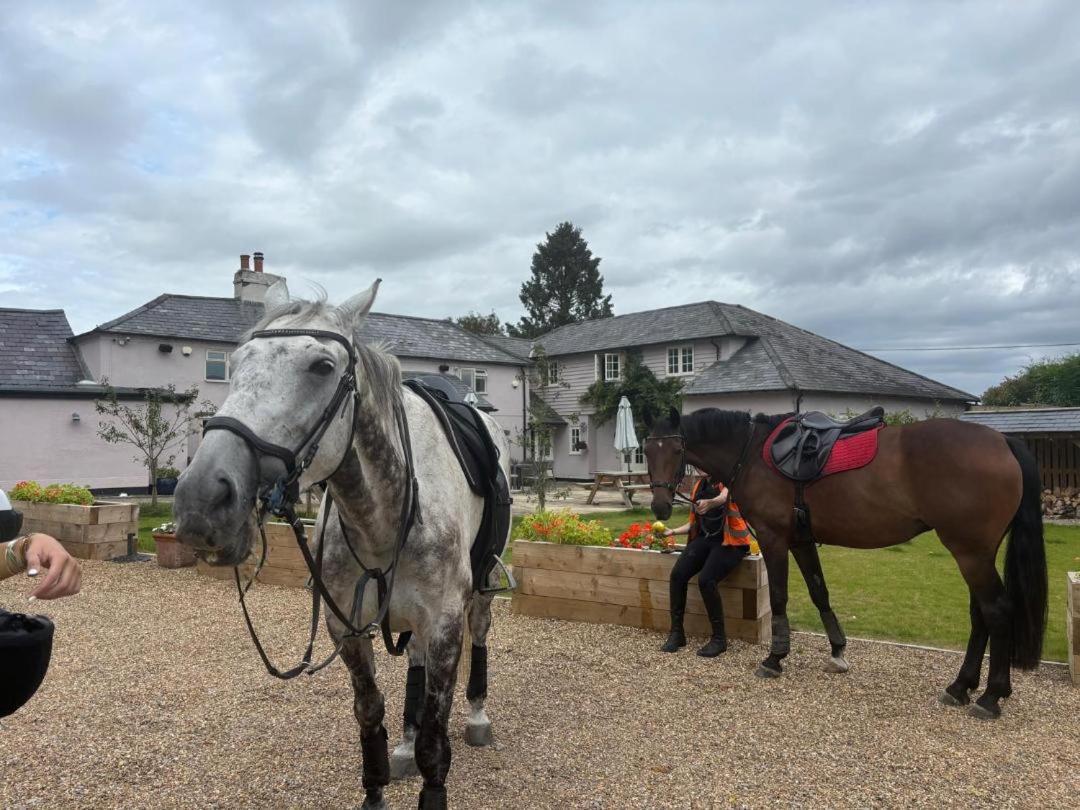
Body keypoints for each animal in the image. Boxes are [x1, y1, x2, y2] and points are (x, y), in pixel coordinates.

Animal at [174, 280, 507, 810]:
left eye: (322, 367)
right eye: (236, 362)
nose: (201, 498)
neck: (384, 514)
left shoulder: (444, 624)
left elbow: (436, 742)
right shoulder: (346, 629)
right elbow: (369, 715)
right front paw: (383, 773)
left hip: (481, 589)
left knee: (481, 631)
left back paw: (477, 715)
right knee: (413, 661)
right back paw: (405, 740)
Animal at [639, 408, 1045, 721]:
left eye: (678, 448)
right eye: (645, 450)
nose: (659, 505)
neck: (751, 453)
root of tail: (1002, 441)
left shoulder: (774, 539)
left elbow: (782, 597)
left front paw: (774, 658)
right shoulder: (801, 540)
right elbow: (820, 592)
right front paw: (837, 652)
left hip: (970, 553)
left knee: (996, 611)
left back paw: (990, 696)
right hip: (976, 553)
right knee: (980, 615)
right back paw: (961, 686)